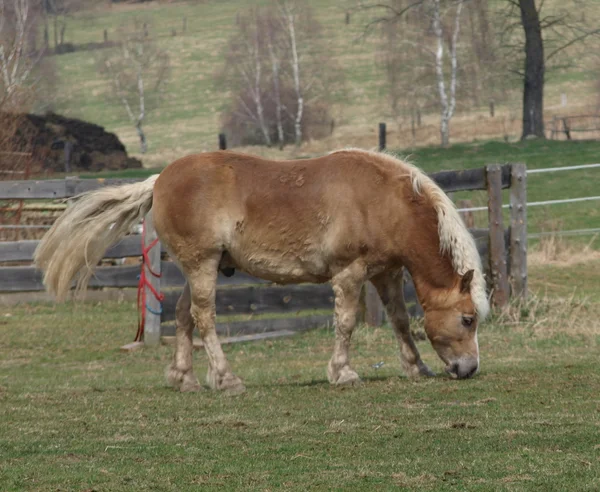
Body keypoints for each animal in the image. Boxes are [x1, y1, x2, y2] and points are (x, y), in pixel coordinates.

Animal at [35, 148, 490, 394]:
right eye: (468, 319)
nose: (469, 369)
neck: (382, 200)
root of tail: (159, 180)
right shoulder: (350, 272)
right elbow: (346, 323)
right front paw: (342, 373)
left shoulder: (386, 272)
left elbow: (399, 320)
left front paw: (417, 367)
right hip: (202, 265)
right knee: (204, 317)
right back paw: (226, 379)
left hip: (200, 268)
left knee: (183, 316)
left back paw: (185, 378)